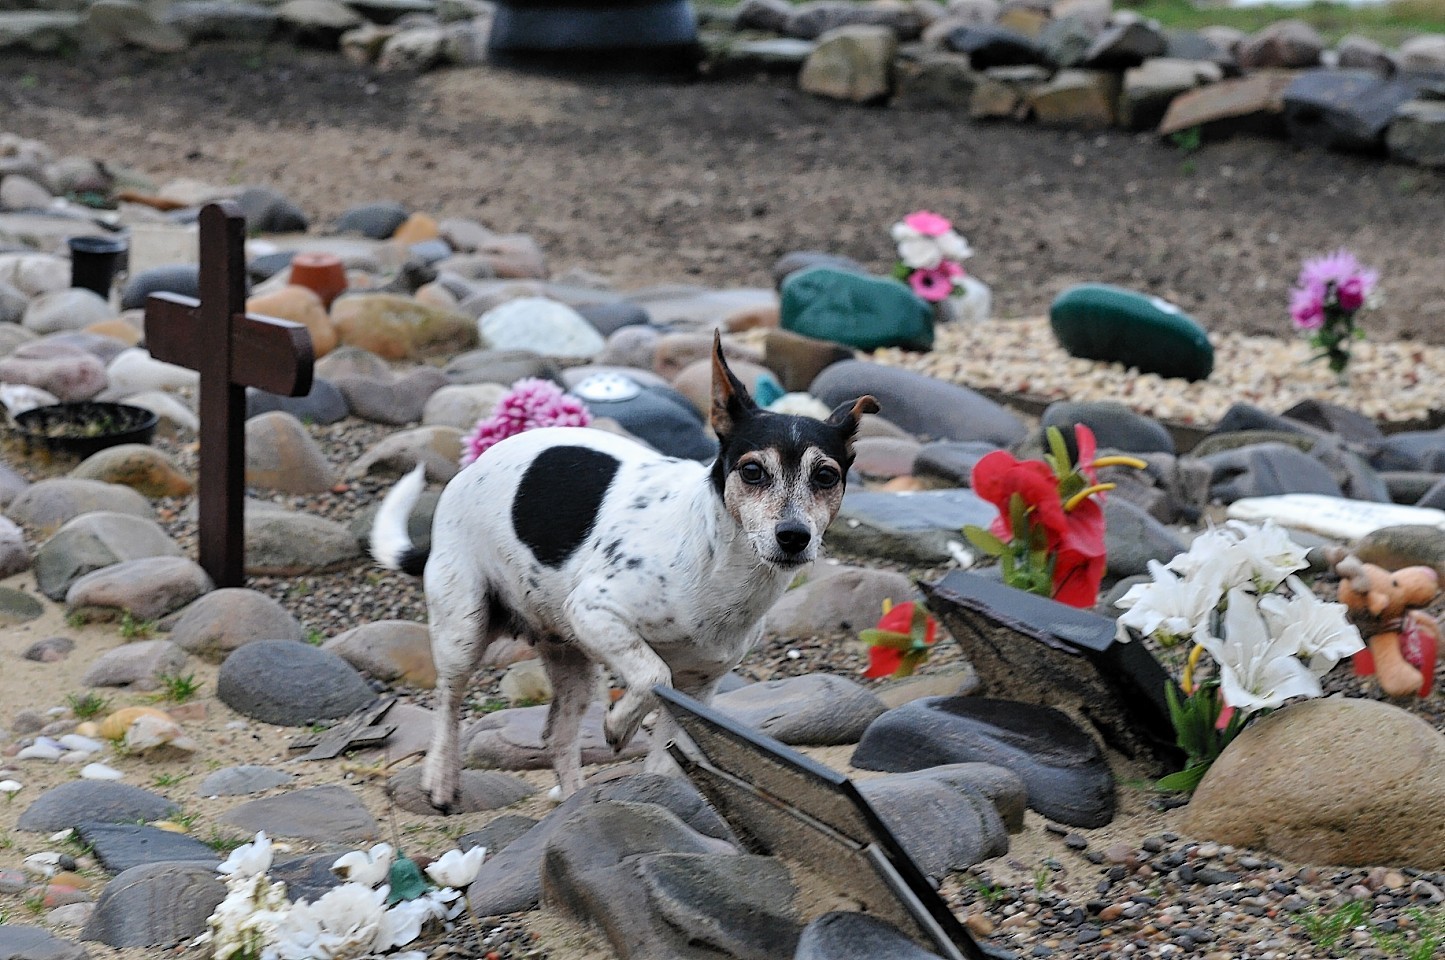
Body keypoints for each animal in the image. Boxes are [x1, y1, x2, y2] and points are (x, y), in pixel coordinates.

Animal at [367, 335, 872, 809]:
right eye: (752, 471)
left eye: (826, 477)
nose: (794, 536)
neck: (718, 564)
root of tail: (465, 473)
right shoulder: (595, 612)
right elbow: (653, 676)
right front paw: (616, 725)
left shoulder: (699, 687)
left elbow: (665, 755)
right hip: (465, 628)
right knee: (448, 701)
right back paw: (440, 777)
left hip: (572, 658)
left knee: (558, 734)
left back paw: (573, 804)